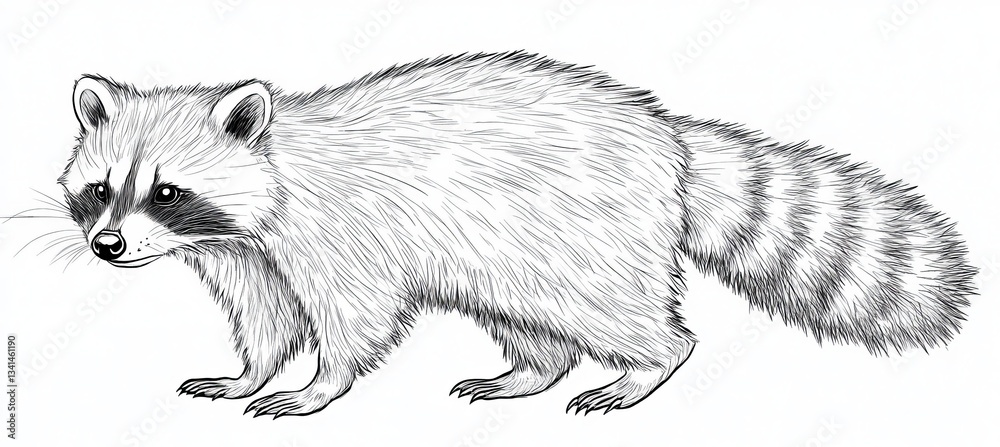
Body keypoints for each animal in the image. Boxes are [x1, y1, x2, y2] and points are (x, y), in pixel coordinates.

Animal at [57, 51, 975, 417]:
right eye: (102, 190)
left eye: (167, 191)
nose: (107, 247)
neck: (277, 162)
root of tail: (668, 137)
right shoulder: (245, 251)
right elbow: (266, 314)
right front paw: (249, 370)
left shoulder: (338, 233)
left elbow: (356, 316)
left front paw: (323, 383)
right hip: (511, 254)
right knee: (530, 319)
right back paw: (531, 370)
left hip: (584, 234)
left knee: (622, 313)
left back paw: (650, 364)